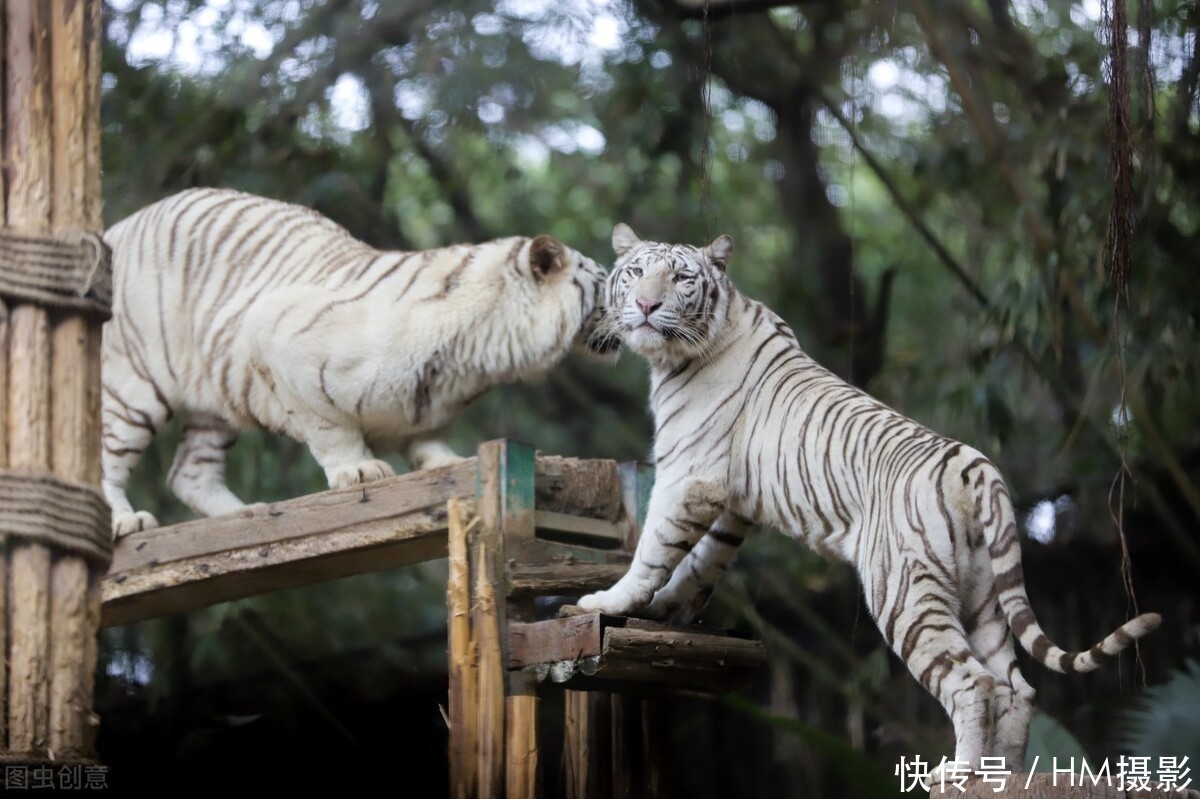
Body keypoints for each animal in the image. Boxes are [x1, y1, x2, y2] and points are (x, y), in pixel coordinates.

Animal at [100, 187, 619, 535]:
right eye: (608, 283)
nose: (635, 305)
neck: (476, 358)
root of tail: (113, 230)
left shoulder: (428, 404)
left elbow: (426, 436)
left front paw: (446, 461)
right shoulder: (275, 335)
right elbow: (329, 428)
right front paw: (360, 471)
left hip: (215, 403)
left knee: (189, 472)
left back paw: (245, 513)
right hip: (133, 387)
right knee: (104, 457)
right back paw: (127, 521)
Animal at [580, 221, 1161, 772]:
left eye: (680, 278)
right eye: (636, 273)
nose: (646, 306)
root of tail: (973, 463)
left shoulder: (690, 477)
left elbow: (655, 549)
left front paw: (611, 601)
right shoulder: (732, 503)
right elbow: (701, 563)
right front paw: (668, 609)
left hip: (904, 596)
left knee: (973, 681)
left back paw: (959, 771)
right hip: (983, 594)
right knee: (1016, 687)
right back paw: (1005, 775)